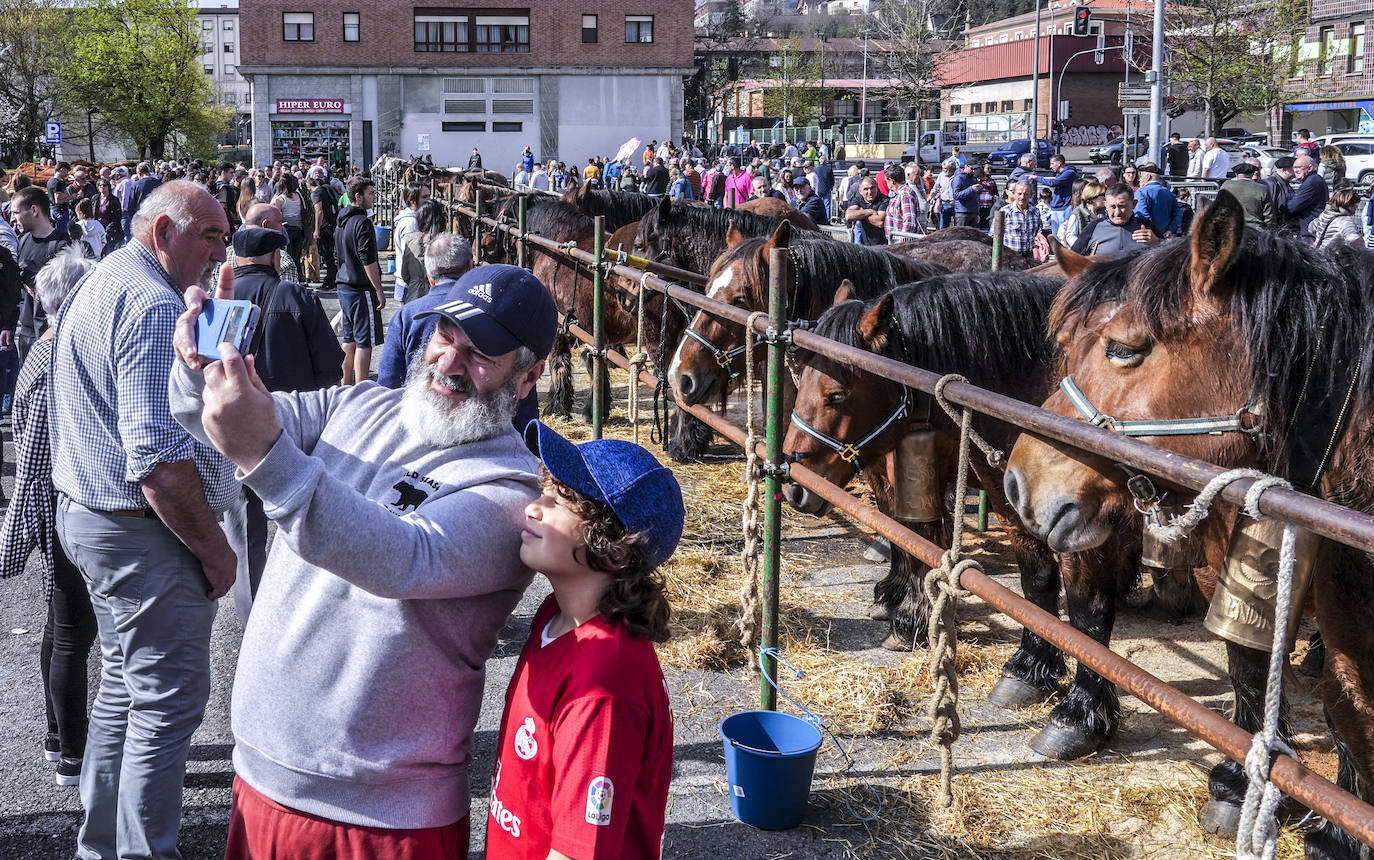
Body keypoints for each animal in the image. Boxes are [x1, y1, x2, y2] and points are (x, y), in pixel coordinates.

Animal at [1005, 190, 1374, 851]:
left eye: (1124, 348)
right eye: (1062, 347)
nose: (1020, 483)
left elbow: (1344, 708)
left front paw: (1338, 831)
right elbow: (1249, 667)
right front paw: (1237, 787)